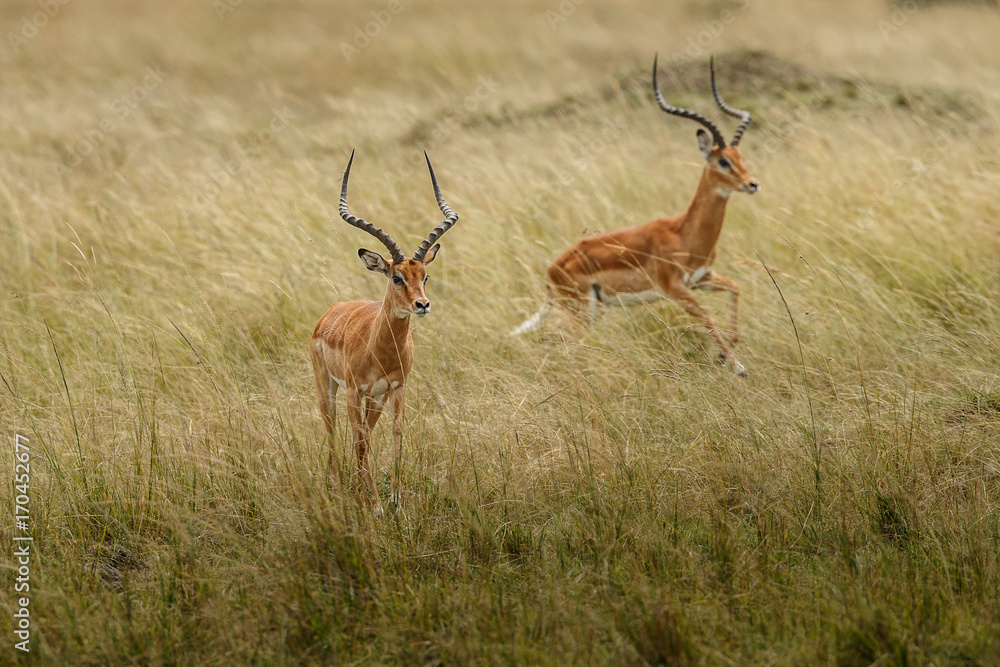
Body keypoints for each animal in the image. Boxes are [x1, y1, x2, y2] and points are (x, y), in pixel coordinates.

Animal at [311, 150, 458, 511]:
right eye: (396, 277)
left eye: (425, 276)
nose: (422, 305)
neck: (380, 349)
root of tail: (330, 312)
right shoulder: (354, 390)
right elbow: (359, 439)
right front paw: (375, 504)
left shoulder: (396, 389)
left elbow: (396, 434)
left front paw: (394, 499)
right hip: (328, 388)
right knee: (333, 428)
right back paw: (338, 486)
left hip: (373, 399)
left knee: (364, 433)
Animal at [512, 56, 759, 376]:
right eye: (723, 161)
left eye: (741, 157)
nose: (752, 184)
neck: (685, 232)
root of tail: (552, 271)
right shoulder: (676, 289)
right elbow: (707, 317)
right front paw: (737, 366)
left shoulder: (702, 279)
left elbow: (736, 288)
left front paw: (725, 354)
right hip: (581, 312)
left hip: (592, 311)